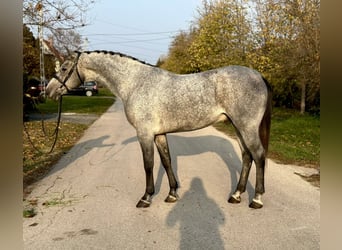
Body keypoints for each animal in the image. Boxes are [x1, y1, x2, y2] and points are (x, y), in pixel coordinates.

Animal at [45, 50, 272, 209]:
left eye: (64, 68)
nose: (48, 91)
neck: (135, 82)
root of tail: (258, 76)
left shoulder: (144, 134)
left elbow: (148, 164)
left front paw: (146, 197)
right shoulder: (159, 134)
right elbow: (166, 160)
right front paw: (172, 194)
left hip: (246, 126)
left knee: (258, 156)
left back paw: (257, 199)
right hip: (238, 126)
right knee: (247, 156)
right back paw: (236, 195)